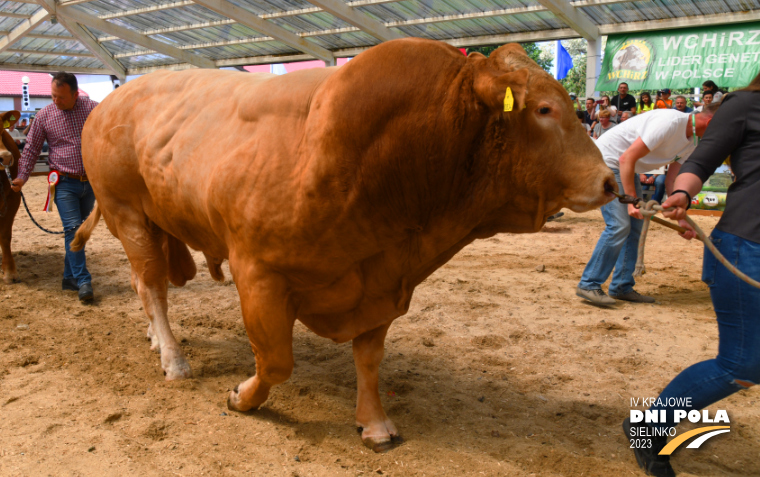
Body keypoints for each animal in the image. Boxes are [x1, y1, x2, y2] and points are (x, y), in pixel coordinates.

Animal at [72, 40, 616, 450]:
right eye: (544, 109)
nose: (610, 182)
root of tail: (113, 102)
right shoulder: (259, 273)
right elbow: (276, 360)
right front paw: (243, 398)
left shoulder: (381, 280)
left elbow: (369, 361)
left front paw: (374, 423)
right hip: (127, 212)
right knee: (152, 287)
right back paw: (173, 358)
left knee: (148, 288)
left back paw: (155, 339)